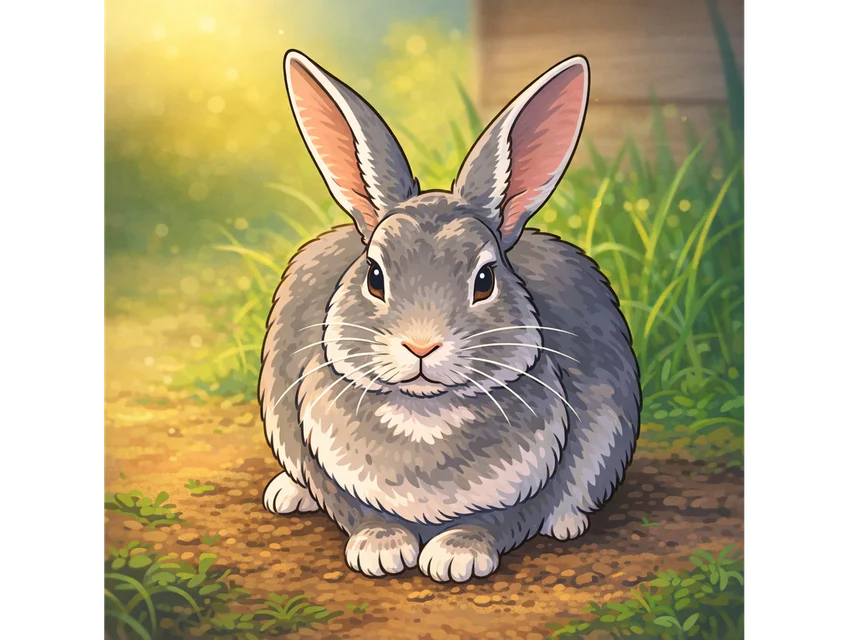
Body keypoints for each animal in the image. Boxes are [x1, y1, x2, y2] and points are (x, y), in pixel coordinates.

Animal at [258, 49, 641, 583]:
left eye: (485, 279)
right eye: (374, 275)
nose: (421, 346)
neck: (424, 411)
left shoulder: (538, 477)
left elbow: (503, 521)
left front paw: (456, 554)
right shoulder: (322, 460)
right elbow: (355, 510)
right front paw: (380, 548)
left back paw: (568, 523)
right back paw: (286, 493)